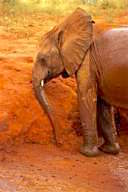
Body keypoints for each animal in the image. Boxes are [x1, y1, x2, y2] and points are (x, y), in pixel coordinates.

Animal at [32, 8, 127, 157]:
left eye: (42, 59)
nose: (58, 142)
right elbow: (102, 103)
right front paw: (108, 150)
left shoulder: (88, 59)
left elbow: (85, 95)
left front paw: (86, 153)